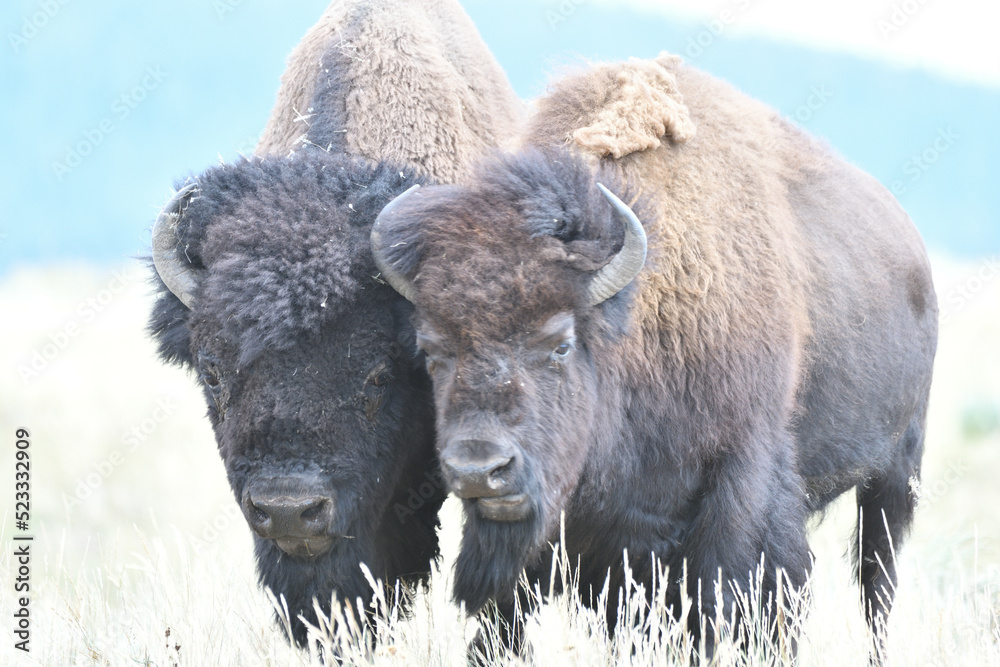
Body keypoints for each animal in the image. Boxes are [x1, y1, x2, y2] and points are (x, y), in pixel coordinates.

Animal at [370, 53, 938, 655]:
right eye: (432, 350)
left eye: (560, 344)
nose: (480, 470)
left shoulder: (739, 483)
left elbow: (729, 597)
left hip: (896, 474)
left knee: (877, 584)